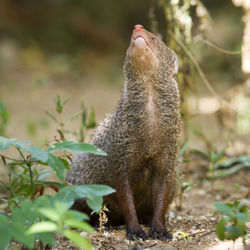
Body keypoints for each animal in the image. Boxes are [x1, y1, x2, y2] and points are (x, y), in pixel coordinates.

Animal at [65, 24, 181, 241]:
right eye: (129, 40)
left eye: (155, 39)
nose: (138, 27)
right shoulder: (119, 159)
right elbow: (126, 201)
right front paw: (135, 231)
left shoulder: (168, 159)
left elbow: (162, 200)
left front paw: (159, 229)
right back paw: (99, 223)